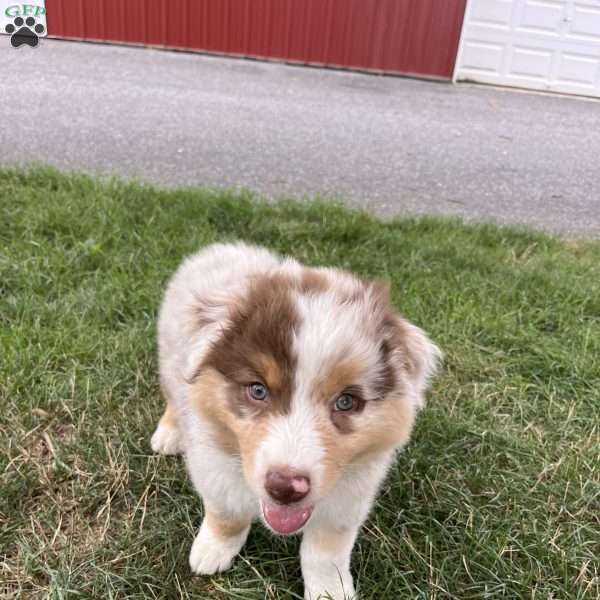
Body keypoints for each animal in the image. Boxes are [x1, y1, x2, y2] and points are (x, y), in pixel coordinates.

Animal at [150, 241, 440, 596]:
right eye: (258, 390)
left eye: (346, 401)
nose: (285, 488)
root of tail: (226, 247)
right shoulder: (213, 465)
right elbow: (227, 514)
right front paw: (212, 550)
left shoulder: (349, 497)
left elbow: (325, 552)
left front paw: (330, 592)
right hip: (170, 356)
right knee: (172, 397)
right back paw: (168, 434)